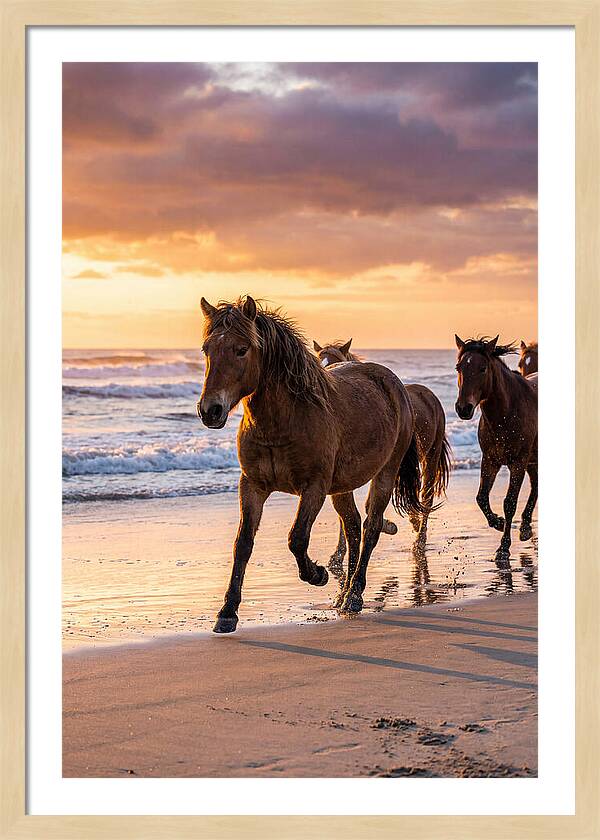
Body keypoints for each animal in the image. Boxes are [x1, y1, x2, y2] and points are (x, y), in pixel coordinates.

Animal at [197, 297, 424, 632]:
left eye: (241, 349)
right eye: (206, 349)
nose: (210, 410)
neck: (284, 420)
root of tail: (395, 384)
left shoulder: (313, 488)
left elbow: (297, 538)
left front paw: (317, 574)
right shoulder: (252, 486)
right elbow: (243, 544)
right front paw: (227, 612)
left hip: (385, 473)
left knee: (370, 528)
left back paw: (354, 595)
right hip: (341, 488)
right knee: (353, 527)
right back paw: (343, 595)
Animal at [314, 339, 451, 549]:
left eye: (335, 362)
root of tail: (429, 395)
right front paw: (340, 550)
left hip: (430, 457)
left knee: (426, 497)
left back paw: (419, 539)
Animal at [454, 335, 538, 559]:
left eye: (483, 368)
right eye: (459, 367)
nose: (463, 408)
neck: (507, 413)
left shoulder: (518, 463)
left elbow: (509, 502)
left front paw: (503, 547)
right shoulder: (490, 460)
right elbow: (481, 497)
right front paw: (498, 522)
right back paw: (525, 527)